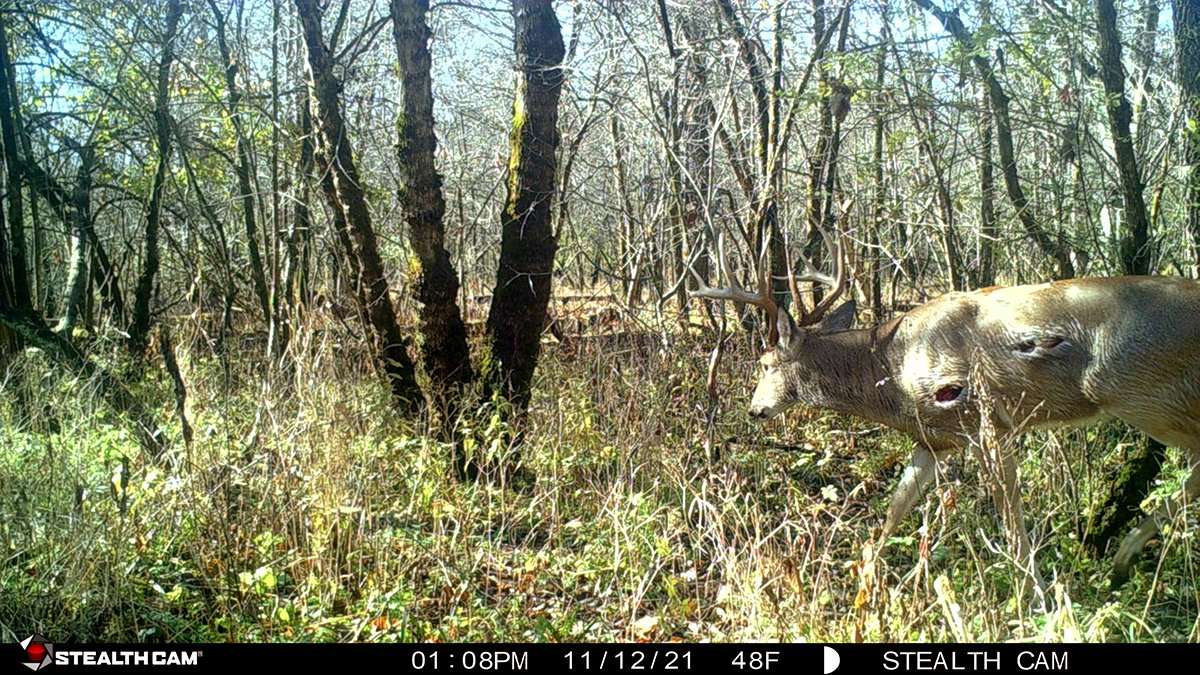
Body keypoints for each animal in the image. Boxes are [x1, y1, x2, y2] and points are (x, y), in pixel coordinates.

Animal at [691, 230, 1195, 583]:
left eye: (765, 363)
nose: (754, 409)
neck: (888, 368)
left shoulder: (987, 421)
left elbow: (1012, 523)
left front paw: (1033, 597)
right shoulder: (933, 440)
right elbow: (894, 510)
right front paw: (866, 579)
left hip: (1141, 392)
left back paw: (1124, 557)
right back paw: (1126, 559)